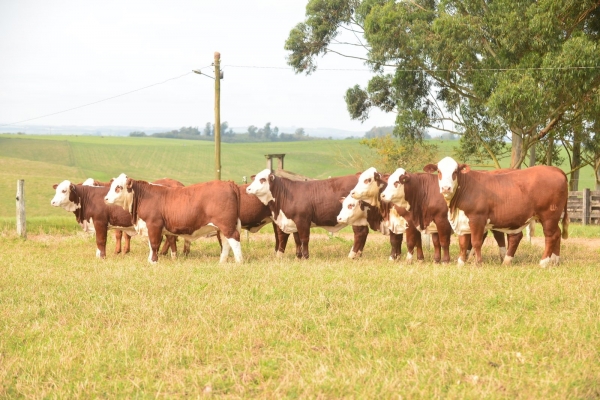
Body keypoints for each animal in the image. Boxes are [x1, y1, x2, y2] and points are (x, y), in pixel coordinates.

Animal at [104, 173, 243, 264]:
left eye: (118, 187)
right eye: (111, 186)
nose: (105, 199)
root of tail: (228, 183)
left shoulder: (154, 225)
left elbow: (154, 244)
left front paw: (153, 262)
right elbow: (151, 245)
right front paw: (150, 260)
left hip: (227, 225)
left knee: (234, 239)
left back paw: (239, 262)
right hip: (224, 226)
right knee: (226, 242)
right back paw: (222, 262)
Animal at [424, 158, 568, 268]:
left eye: (455, 171)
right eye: (439, 171)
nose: (446, 188)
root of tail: (555, 169)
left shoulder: (477, 219)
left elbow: (476, 242)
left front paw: (478, 263)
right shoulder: (463, 221)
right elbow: (463, 243)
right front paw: (460, 263)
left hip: (549, 215)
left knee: (551, 236)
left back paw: (543, 262)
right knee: (557, 233)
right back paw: (554, 261)